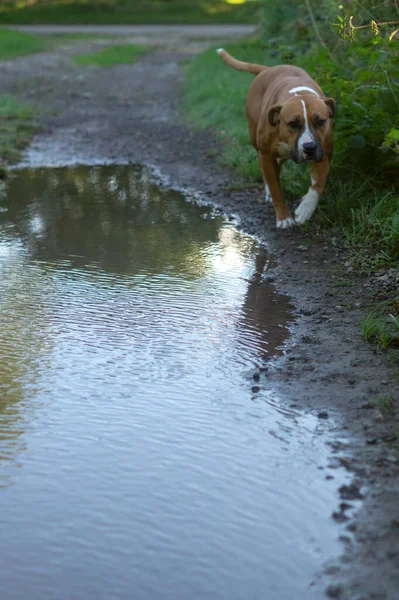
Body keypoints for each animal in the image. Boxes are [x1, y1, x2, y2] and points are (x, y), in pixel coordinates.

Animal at [217, 47, 336, 227]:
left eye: (321, 121)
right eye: (293, 123)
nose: (309, 147)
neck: (298, 93)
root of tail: (266, 69)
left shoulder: (324, 154)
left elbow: (318, 185)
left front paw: (305, 209)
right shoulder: (266, 155)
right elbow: (275, 189)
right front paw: (284, 217)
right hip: (256, 139)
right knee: (263, 167)